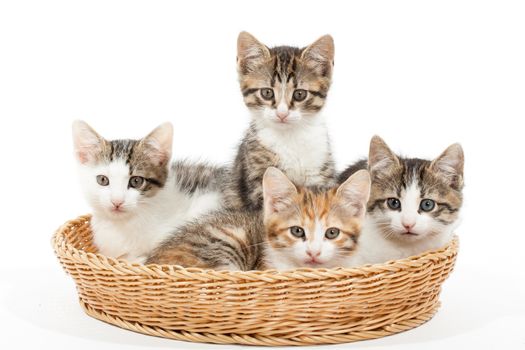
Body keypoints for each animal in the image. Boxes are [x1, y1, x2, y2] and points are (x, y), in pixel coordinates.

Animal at [221, 31, 336, 211]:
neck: (290, 136)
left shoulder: (320, 173)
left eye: (300, 94)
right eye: (267, 93)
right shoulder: (258, 179)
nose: (282, 114)